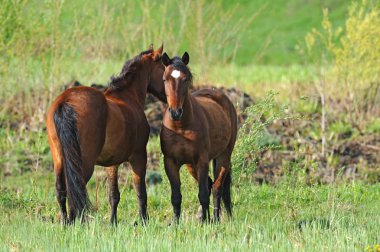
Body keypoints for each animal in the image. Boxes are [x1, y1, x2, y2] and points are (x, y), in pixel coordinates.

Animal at [46, 44, 166, 224]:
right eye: (164, 69)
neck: (126, 96)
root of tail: (65, 101)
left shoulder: (112, 163)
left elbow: (113, 195)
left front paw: (112, 223)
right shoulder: (139, 156)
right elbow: (141, 192)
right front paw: (144, 221)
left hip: (59, 159)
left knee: (61, 191)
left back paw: (65, 224)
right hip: (84, 163)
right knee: (76, 190)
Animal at [160, 52, 238, 221]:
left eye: (186, 78)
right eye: (164, 79)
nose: (175, 112)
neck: (180, 127)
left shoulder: (202, 160)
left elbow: (203, 194)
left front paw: (206, 222)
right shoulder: (170, 162)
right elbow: (176, 196)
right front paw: (176, 222)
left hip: (223, 156)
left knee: (217, 187)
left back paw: (216, 219)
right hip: (191, 165)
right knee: (210, 184)